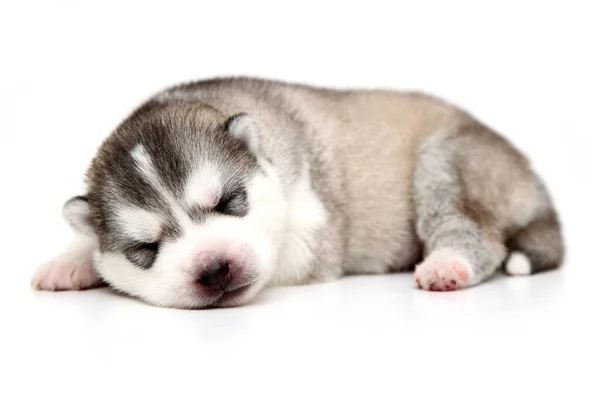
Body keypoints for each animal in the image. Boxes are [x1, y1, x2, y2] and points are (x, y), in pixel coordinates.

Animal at [30, 78, 564, 310]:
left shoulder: (311, 233)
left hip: (447, 160)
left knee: (480, 236)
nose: (215, 269)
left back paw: (447, 264)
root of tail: (532, 174)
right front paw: (71, 262)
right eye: (145, 248)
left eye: (229, 202)